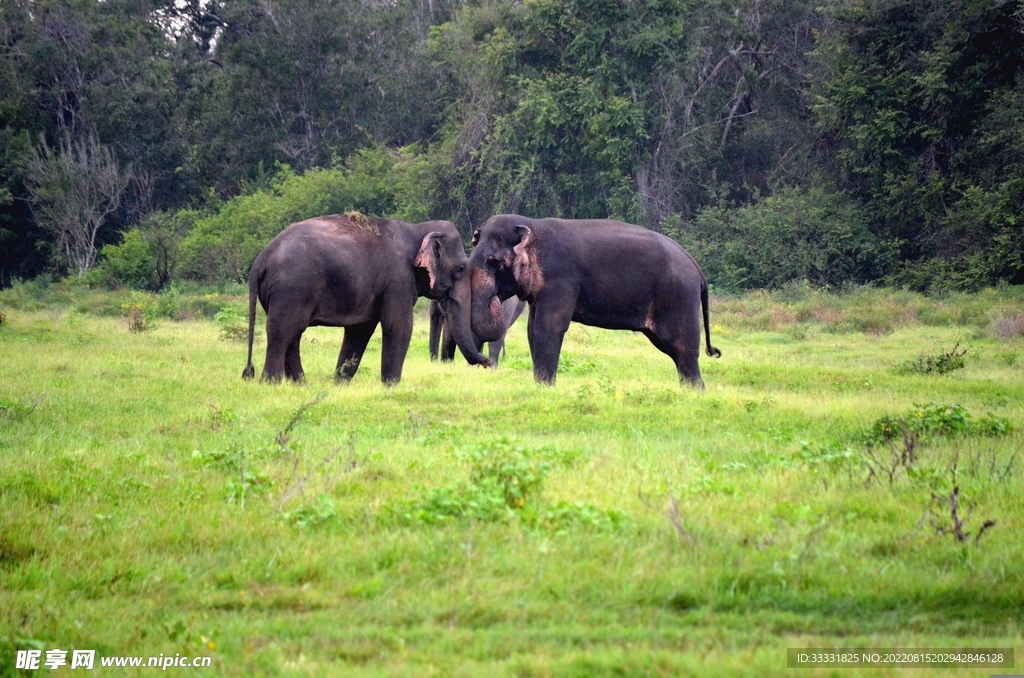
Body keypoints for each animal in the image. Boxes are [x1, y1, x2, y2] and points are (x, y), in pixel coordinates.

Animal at [242, 213, 489, 385]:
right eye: (460, 269)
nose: (486, 362)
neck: (418, 229)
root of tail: (260, 262)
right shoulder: (398, 280)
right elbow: (398, 325)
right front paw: (391, 385)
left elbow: (360, 330)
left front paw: (340, 383)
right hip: (292, 290)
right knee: (282, 331)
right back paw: (272, 383)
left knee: (293, 334)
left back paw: (300, 384)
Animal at [467, 214, 720, 387]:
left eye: (493, 261)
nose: (484, 364)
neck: (533, 224)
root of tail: (696, 266)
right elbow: (532, 330)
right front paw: (540, 387)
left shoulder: (561, 279)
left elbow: (548, 327)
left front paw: (546, 388)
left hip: (678, 296)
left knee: (682, 347)